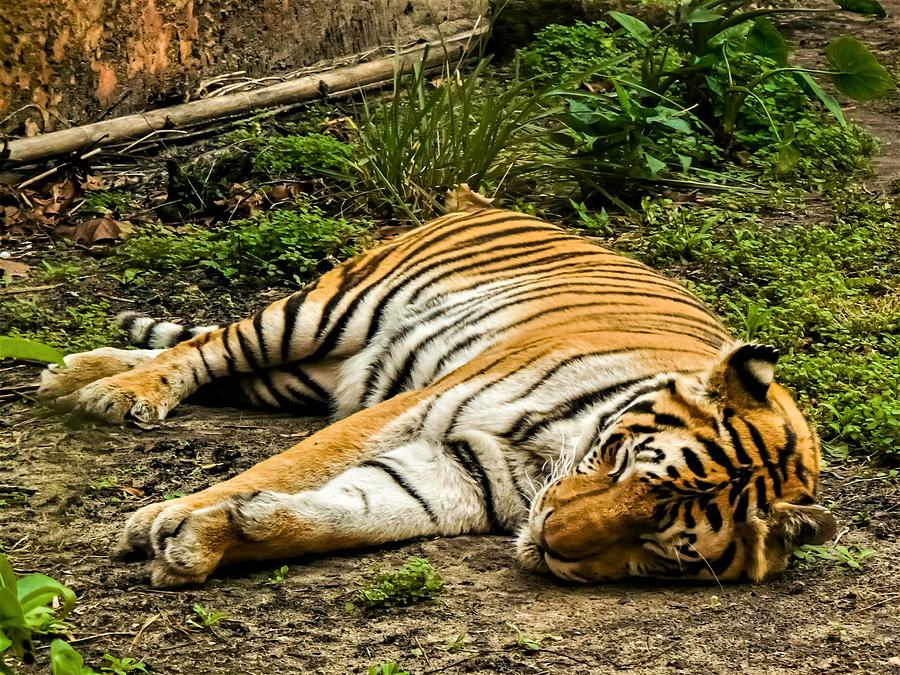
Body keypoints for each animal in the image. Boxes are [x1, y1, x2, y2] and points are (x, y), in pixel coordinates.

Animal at [35, 187, 836, 588]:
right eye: (618, 463)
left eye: (666, 547)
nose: (549, 539)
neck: (555, 455)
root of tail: (483, 199)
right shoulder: (413, 407)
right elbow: (297, 465)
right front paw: (160, 517)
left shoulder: (460, 469)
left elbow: (358, 510)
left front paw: (206, 540)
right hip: (321, 313)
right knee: (208, 346)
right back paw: (114, 393)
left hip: (306, 375)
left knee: (214, 360)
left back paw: (73, 373)